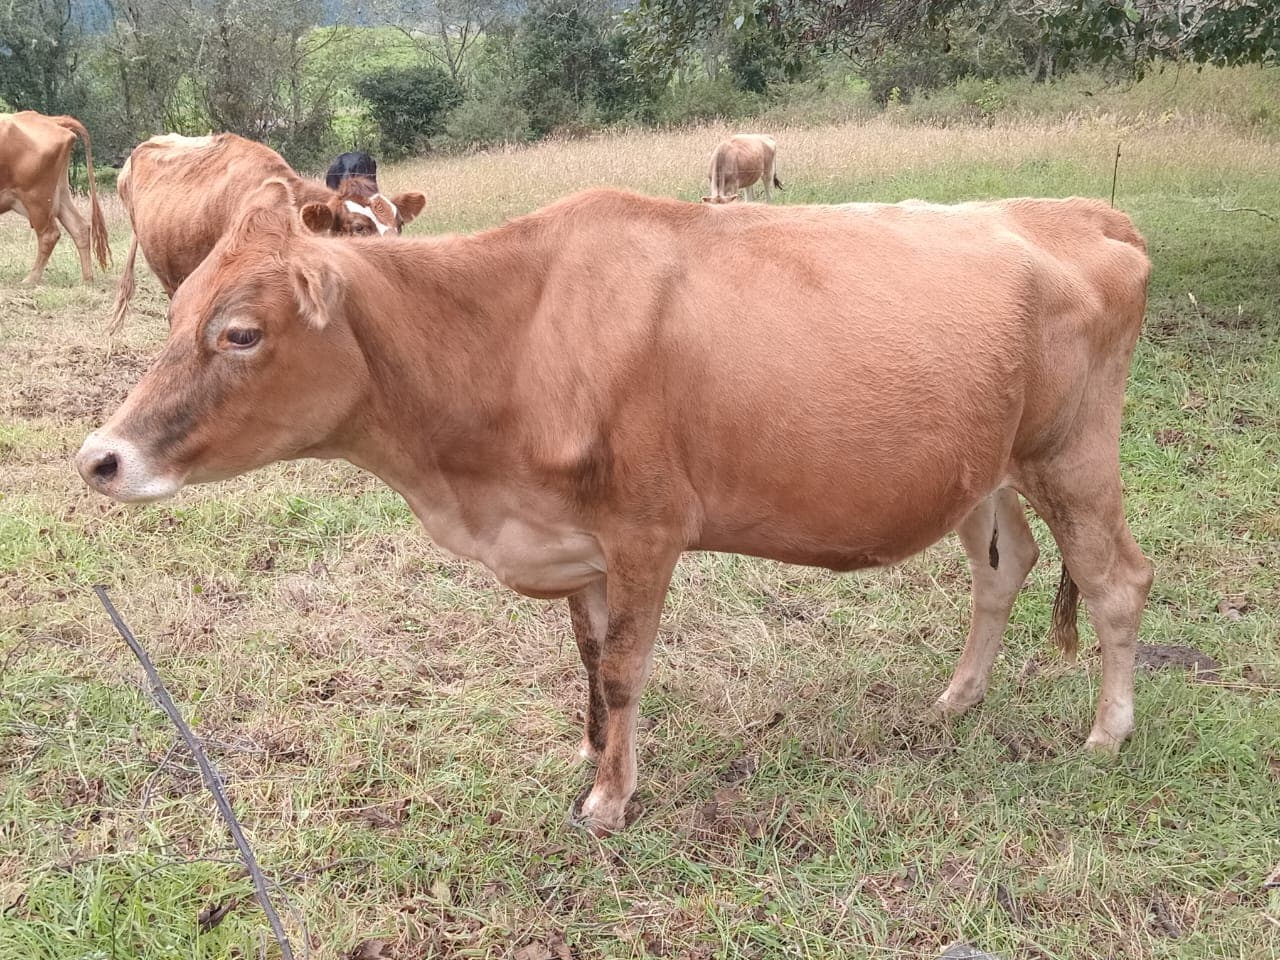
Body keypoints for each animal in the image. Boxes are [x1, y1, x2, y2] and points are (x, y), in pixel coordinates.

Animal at [0, 111, 110, 285]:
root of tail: (52, 120)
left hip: (36, 198)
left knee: (49, 235)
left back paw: (30, 279)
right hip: (60, 194)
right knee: (79, 227)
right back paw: (87, 279)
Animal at [76, 184, 1154, 837]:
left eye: (240, 332)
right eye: (177, 314)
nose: (99, 458)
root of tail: (1081, 211)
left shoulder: (646, 529)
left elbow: (629, 669)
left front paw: (609, 801)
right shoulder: (574, 541)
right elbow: (592, 664)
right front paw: (594, 757)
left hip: (1072, 453)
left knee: (1117, 581)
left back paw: (1107, 735)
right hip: (986, 467)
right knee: (1002, 565)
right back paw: (958, 698)